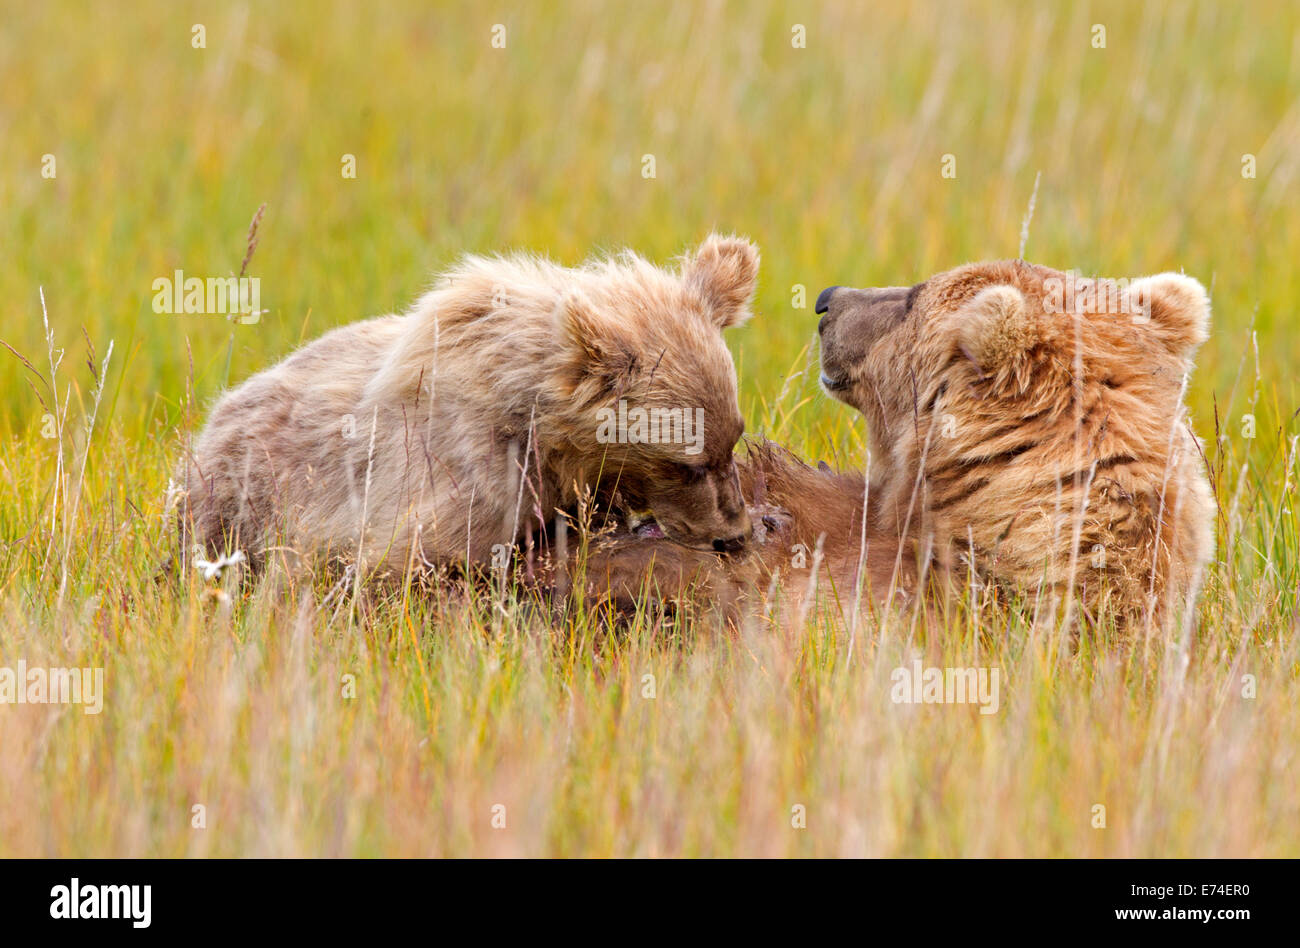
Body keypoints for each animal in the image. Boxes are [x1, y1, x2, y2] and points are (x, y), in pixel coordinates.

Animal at [176, 235, 759, 578]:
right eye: (686, 465)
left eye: (734, 438)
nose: (735, 534)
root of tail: (212, 420)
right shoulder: (463, 474)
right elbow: (407, 559)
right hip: (238, 494)